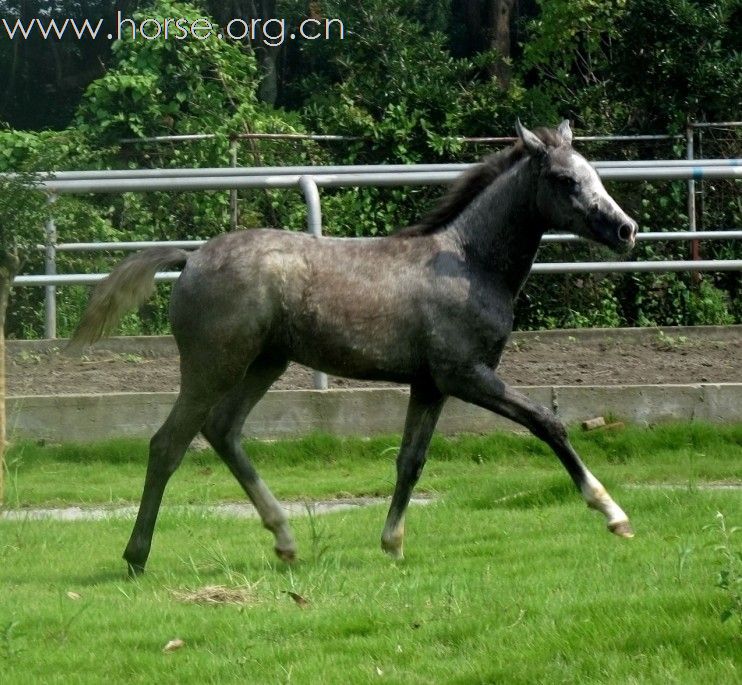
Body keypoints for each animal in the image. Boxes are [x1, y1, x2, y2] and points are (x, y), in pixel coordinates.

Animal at [71, 120, 640, 576]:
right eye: (564, 180)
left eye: (593, 172)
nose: (626, 229)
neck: (468, 261)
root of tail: (190, 259)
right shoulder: (465, 375)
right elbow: (548, 422)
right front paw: (613, 513)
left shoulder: (429, 385)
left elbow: (411, 460)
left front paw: (393, 543)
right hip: (213, 366)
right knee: (167, 444)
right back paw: (136, 557)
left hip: (265, 363)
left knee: (223, 430)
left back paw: (286, 540)